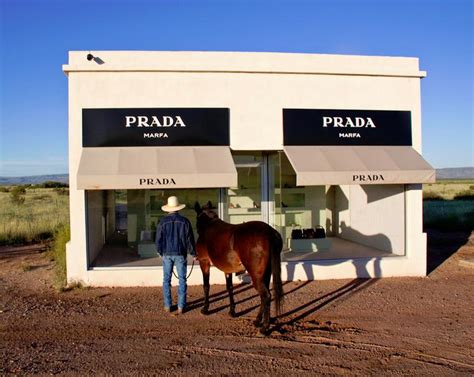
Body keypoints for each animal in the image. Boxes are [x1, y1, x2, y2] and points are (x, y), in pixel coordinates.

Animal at [193, 201, 284, 334]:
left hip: (256, 276)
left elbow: (206, 286)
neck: (209, 225)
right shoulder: (227, 269)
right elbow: (229, 288)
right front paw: (232, 311)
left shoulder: (204, 262)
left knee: (266, 296)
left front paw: (205, 309)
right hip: (265, 273)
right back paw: (257, 321)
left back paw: (264, 327)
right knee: (264, 296)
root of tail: (270, 233)